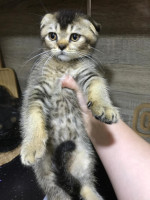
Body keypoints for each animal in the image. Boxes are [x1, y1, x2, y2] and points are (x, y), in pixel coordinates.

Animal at [20, 10, 119, 200]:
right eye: (53, 35)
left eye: (74, 37)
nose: (61, 46)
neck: (63, 66)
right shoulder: (35, 88)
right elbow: (32, 115)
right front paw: (32, 145)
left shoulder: (89, 74)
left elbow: (98, 85)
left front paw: (105, 107)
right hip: (50, 181)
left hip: (86, 159)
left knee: (86, 186)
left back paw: (94, 196)